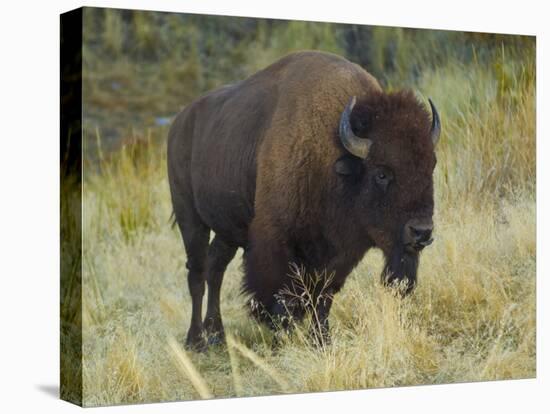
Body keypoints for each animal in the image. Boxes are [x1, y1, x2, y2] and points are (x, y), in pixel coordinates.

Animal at [166, 50, 442, 350]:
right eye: (381, 173)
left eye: (431, 166)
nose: (421, 232)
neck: (334, 158)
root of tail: (179, 123)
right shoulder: (276, 240)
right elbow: (281, 294)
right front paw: (283, 336)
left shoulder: (340, 254)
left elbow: (323, 294)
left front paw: (321, 340)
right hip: (190, 218)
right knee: (197, 273)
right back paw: (195, 340)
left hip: (228, 228)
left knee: (216, 267)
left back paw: (217, 335)